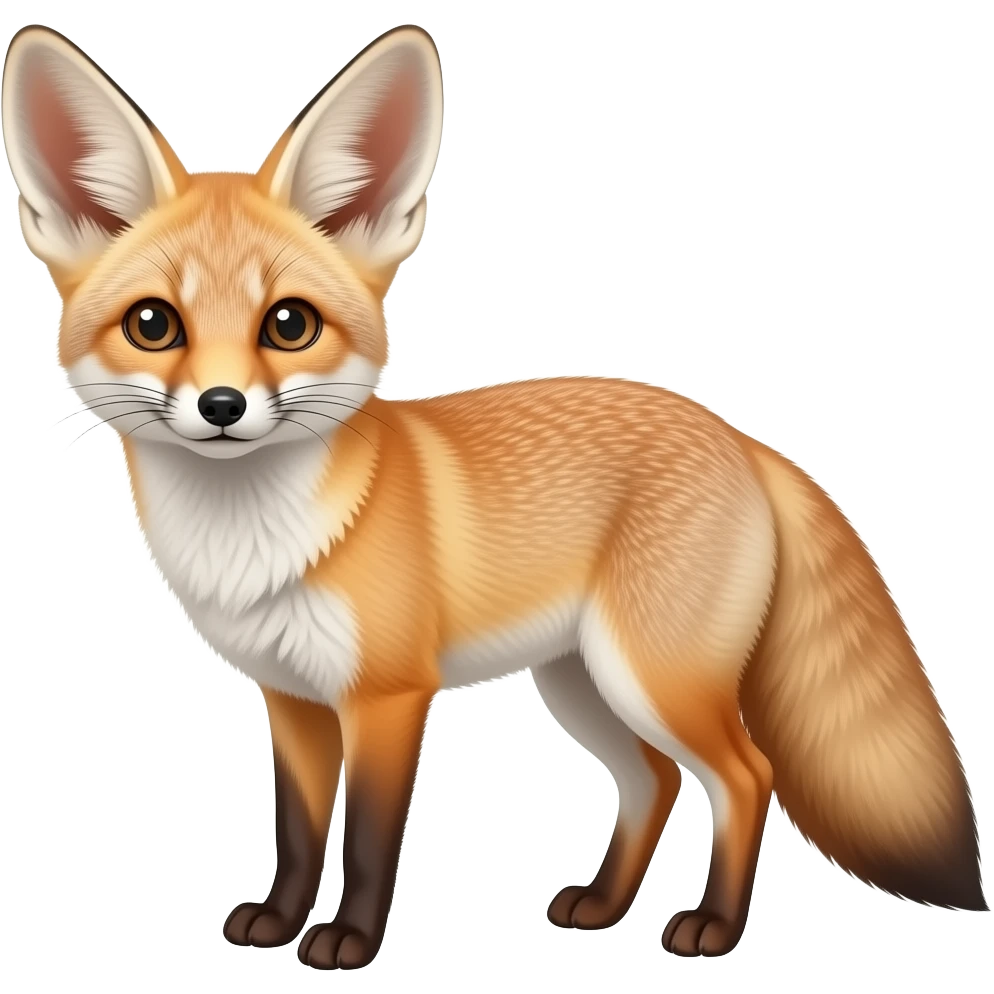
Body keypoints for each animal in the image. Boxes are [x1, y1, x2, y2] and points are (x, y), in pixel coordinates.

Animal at [4, 21, 988, 970]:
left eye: (288, 325)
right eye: (153, 325)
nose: (220, 407)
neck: (260, 542)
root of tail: (740, 437)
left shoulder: (390, 696)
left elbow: (369, 837)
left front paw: (349, 943)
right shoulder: (292, 699)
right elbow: (299, 833)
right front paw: (278, 923)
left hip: (655, 677)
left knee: (749, 776)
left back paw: (713, 926)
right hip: (582, 682)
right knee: (656, 779)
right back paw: (602, 907)